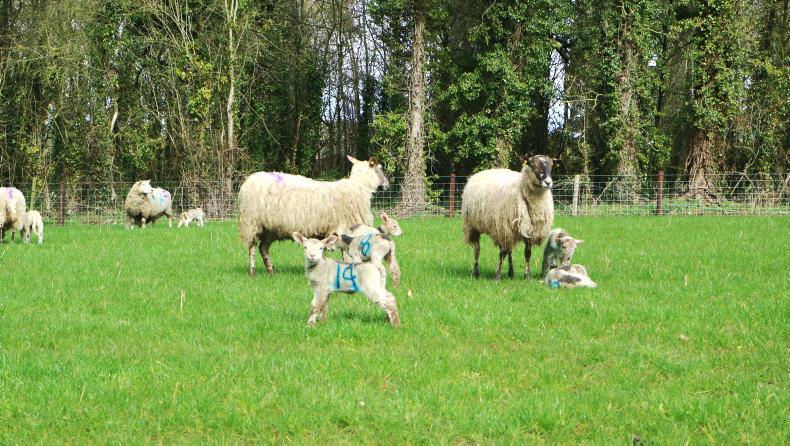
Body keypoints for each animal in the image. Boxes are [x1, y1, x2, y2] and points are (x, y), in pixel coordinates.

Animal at [238, 156, 389, 276]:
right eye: (380, 168)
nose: (387, 185)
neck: (359, 188)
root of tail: (247, 182)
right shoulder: (343, 228)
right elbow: (347, 256)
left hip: (271, 228)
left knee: (263, 248)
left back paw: (271, 270)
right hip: (252, 223)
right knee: (252, 247)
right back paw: (252, 272)